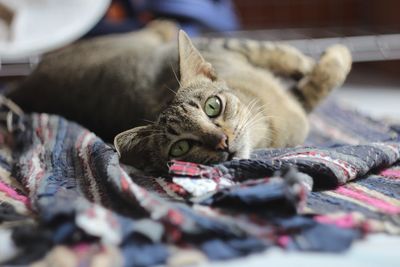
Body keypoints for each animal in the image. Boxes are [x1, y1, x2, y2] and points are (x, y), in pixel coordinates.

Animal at [5, 21, 350, 174]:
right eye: (181, 147)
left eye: (213, 106)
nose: (222, 142)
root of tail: (25, 85)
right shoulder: (302, 106)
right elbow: (318, 83)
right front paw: (335, 58)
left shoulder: (232, 48)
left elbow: (282, 53)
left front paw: (325, 56)